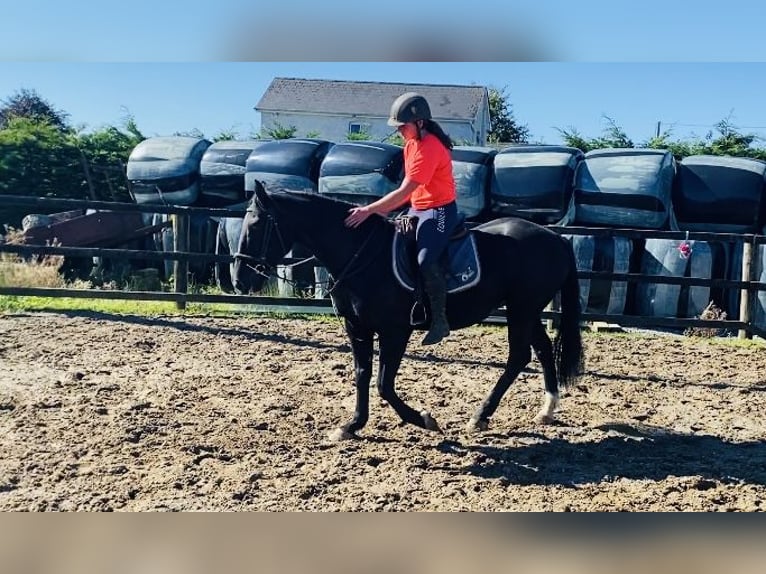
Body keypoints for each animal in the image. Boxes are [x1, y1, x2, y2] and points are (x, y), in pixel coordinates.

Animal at [234, 189, 588, 440]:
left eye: (257, 223)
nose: (239, 279)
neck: (361, 253)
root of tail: (555, 238)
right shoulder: (356, 327)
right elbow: (362, 375)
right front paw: (353, 425)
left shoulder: (395, 331)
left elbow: (383, 384)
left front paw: (423, 419)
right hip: (526, 310)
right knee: (542, 350)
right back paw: (546, 409)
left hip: (521, 309)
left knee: (518, 357)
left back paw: (480, 416)